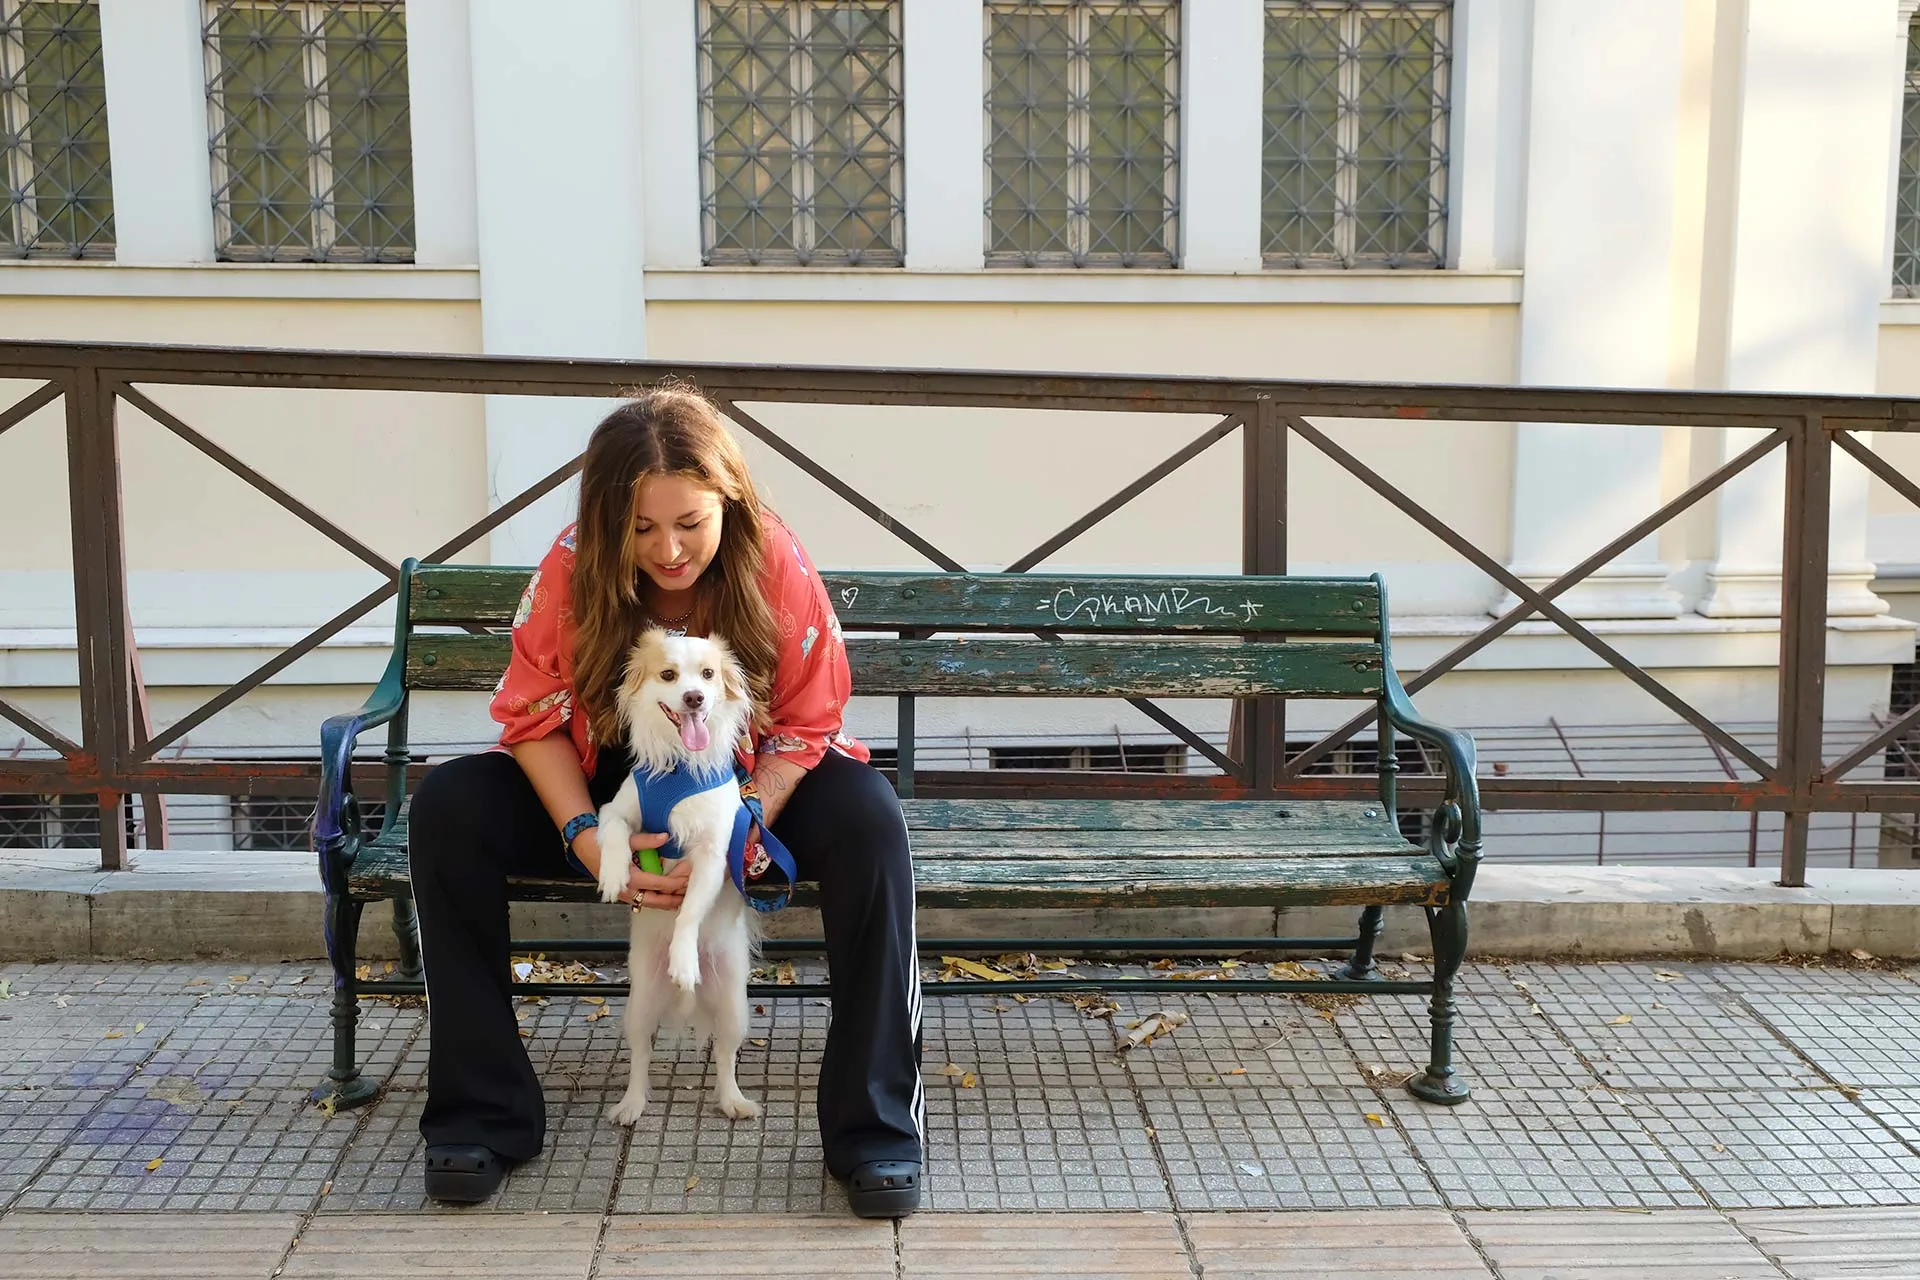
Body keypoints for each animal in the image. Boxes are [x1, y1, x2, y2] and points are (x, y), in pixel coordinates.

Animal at [595, 629, 760, 1120]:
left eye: (707, 675)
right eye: (668, 675)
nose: (694, 697)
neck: (679, 769)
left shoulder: (712, 857)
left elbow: (687, 913)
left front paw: (683, 960)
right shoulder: (617, 811)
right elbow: (614, 832)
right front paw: (614, 875)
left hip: (734, 1008)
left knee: (725, 1056)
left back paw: (733, 1101)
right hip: (639, 1005)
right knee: (640, 1055)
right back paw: (630, 1105)